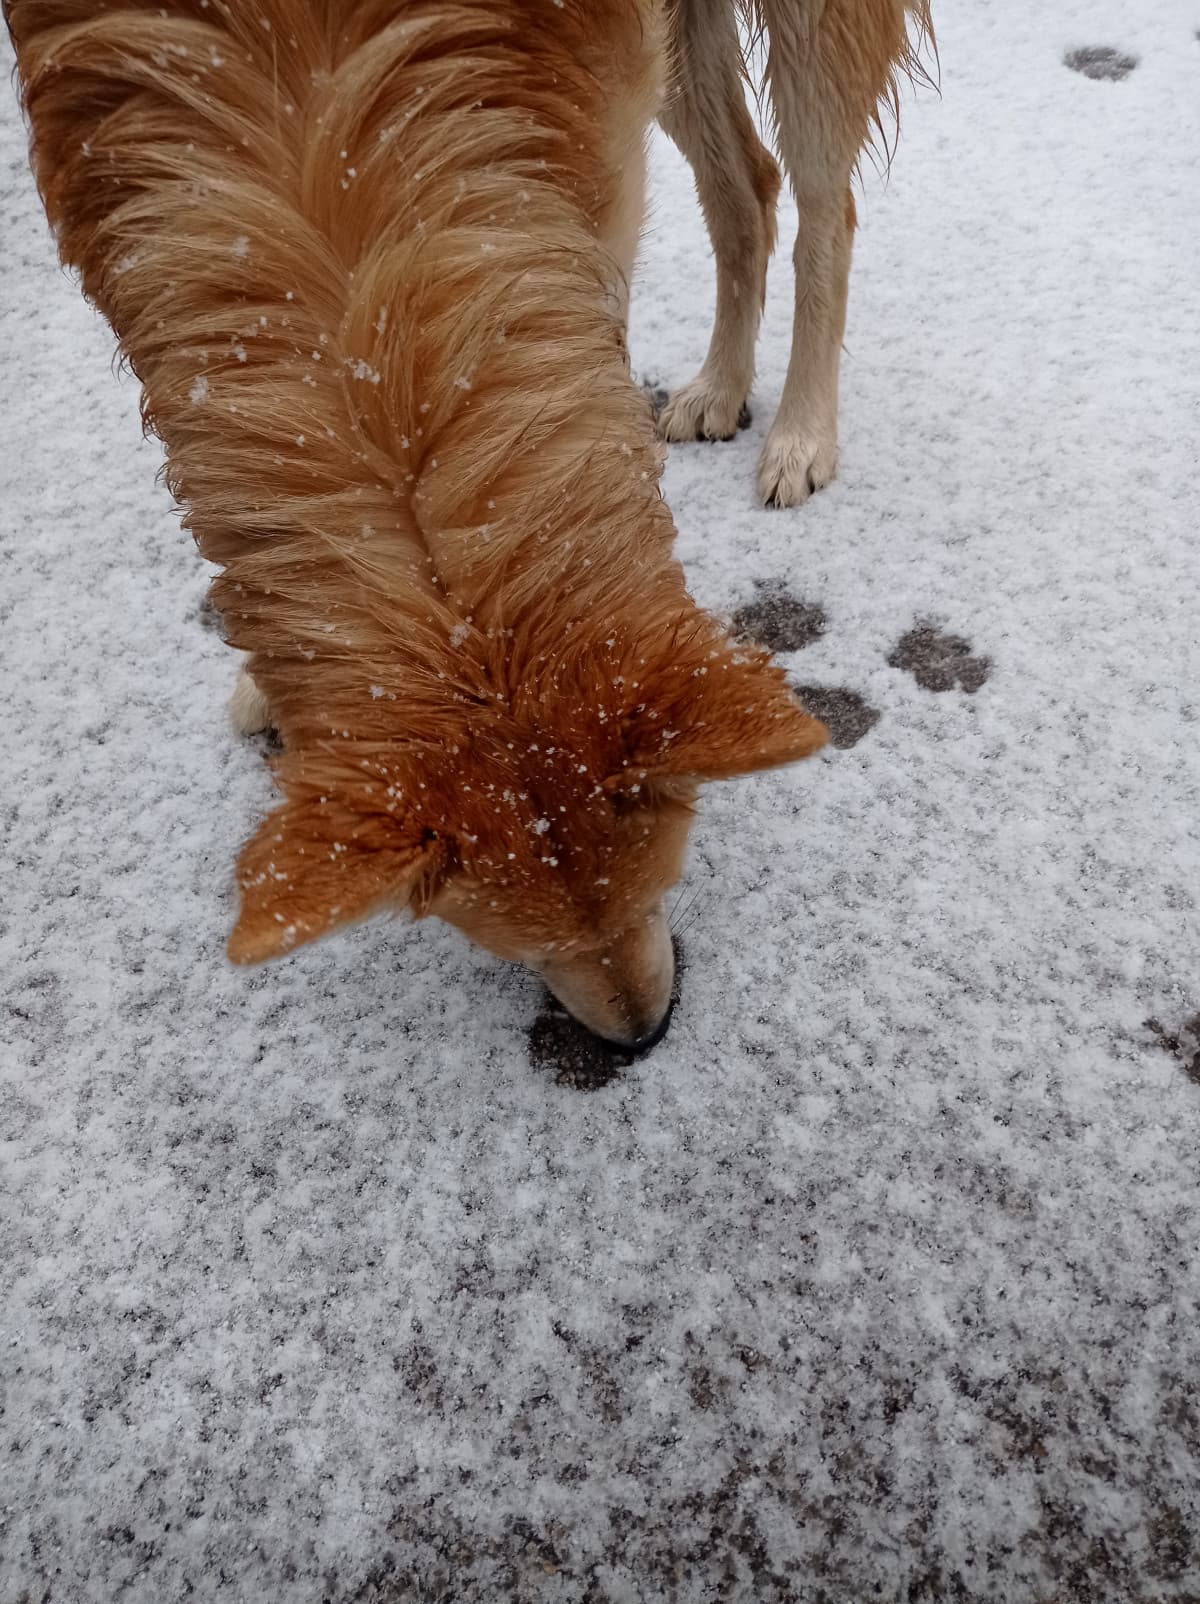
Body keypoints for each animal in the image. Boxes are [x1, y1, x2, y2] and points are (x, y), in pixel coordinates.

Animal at [0, 0, 924, 1045]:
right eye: (521, 948)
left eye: (660, 886)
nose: (643, 1036)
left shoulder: (578, 173)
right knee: (747, 192)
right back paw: (722, 387)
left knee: (822, 209)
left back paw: (802, 430)